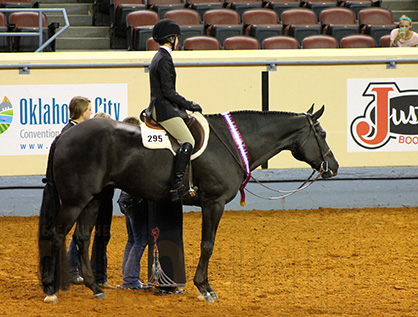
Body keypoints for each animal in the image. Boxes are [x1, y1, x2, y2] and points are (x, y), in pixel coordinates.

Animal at [38, 105, 340, 302]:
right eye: (323, 134)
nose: (334, 166)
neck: (229, 142)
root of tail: (64, 135)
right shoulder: (213, 203)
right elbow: (208, 245)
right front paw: (205, 288)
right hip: (76, 200)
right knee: (57, 234)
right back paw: (52, 289)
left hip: (94, 199)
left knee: (81, 237)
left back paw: (94, 288)